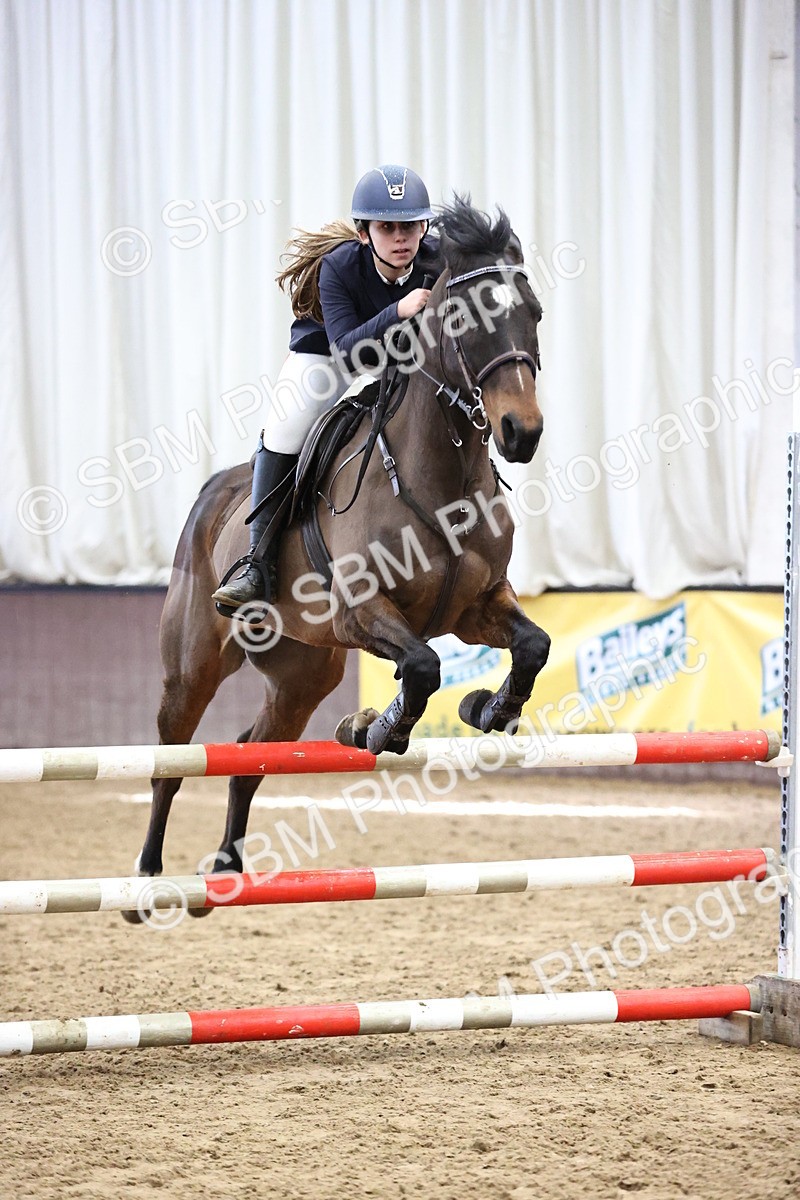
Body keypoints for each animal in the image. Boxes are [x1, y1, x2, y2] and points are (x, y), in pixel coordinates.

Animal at [129, 197, 551, 895]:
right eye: (463, 319)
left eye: (533, 313)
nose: (522, 432)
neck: (442, 479)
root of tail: (216, 491)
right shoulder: (363, 609)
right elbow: (422, 667)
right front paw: (373, 727)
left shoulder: (477, 606)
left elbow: (532, 646)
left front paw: (487, 709)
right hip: (192, 667)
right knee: (172, 759)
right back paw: (145, 881)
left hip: (303, 674)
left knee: (249, 754)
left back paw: (226, 870)